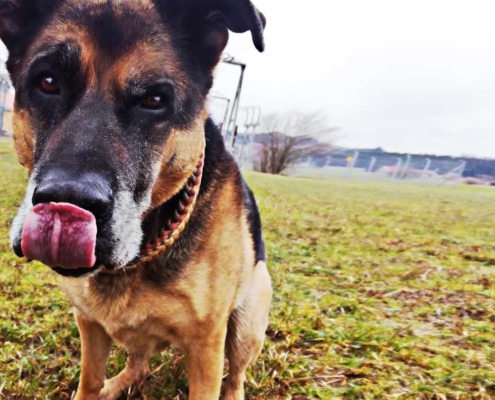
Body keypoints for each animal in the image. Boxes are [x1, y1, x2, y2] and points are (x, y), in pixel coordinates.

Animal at [0, 1, 272, 398]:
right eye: (48, 82)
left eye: (154, 100)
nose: (67, 202)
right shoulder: (89, 323)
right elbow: (89, 381)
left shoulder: (206, 345)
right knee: (139, 365)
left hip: (246, 322)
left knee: (235, 374)